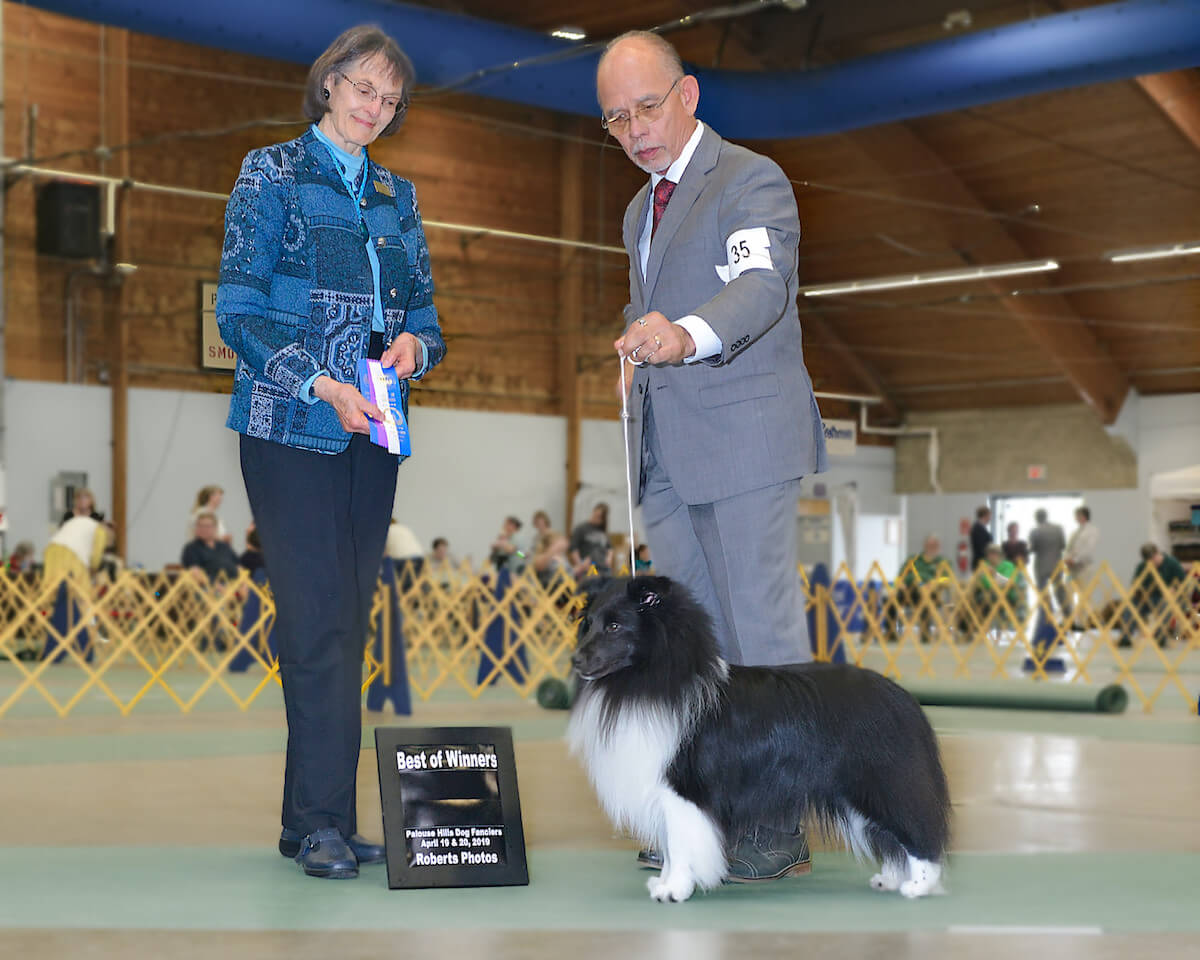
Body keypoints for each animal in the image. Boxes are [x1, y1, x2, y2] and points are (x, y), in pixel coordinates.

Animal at [566, 573, 950, 902]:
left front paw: (675, 890)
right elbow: (673, 847)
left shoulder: (682, 790)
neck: (648, 678)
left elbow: (680, 844)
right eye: (587, 624)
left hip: (882, 781)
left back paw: (919, 885)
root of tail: (902, 698)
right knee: (891, 837)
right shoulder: (664, 794)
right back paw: (891, 878)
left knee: (917, 829)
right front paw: (664, 882)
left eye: (615, 626)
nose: (575, 660)